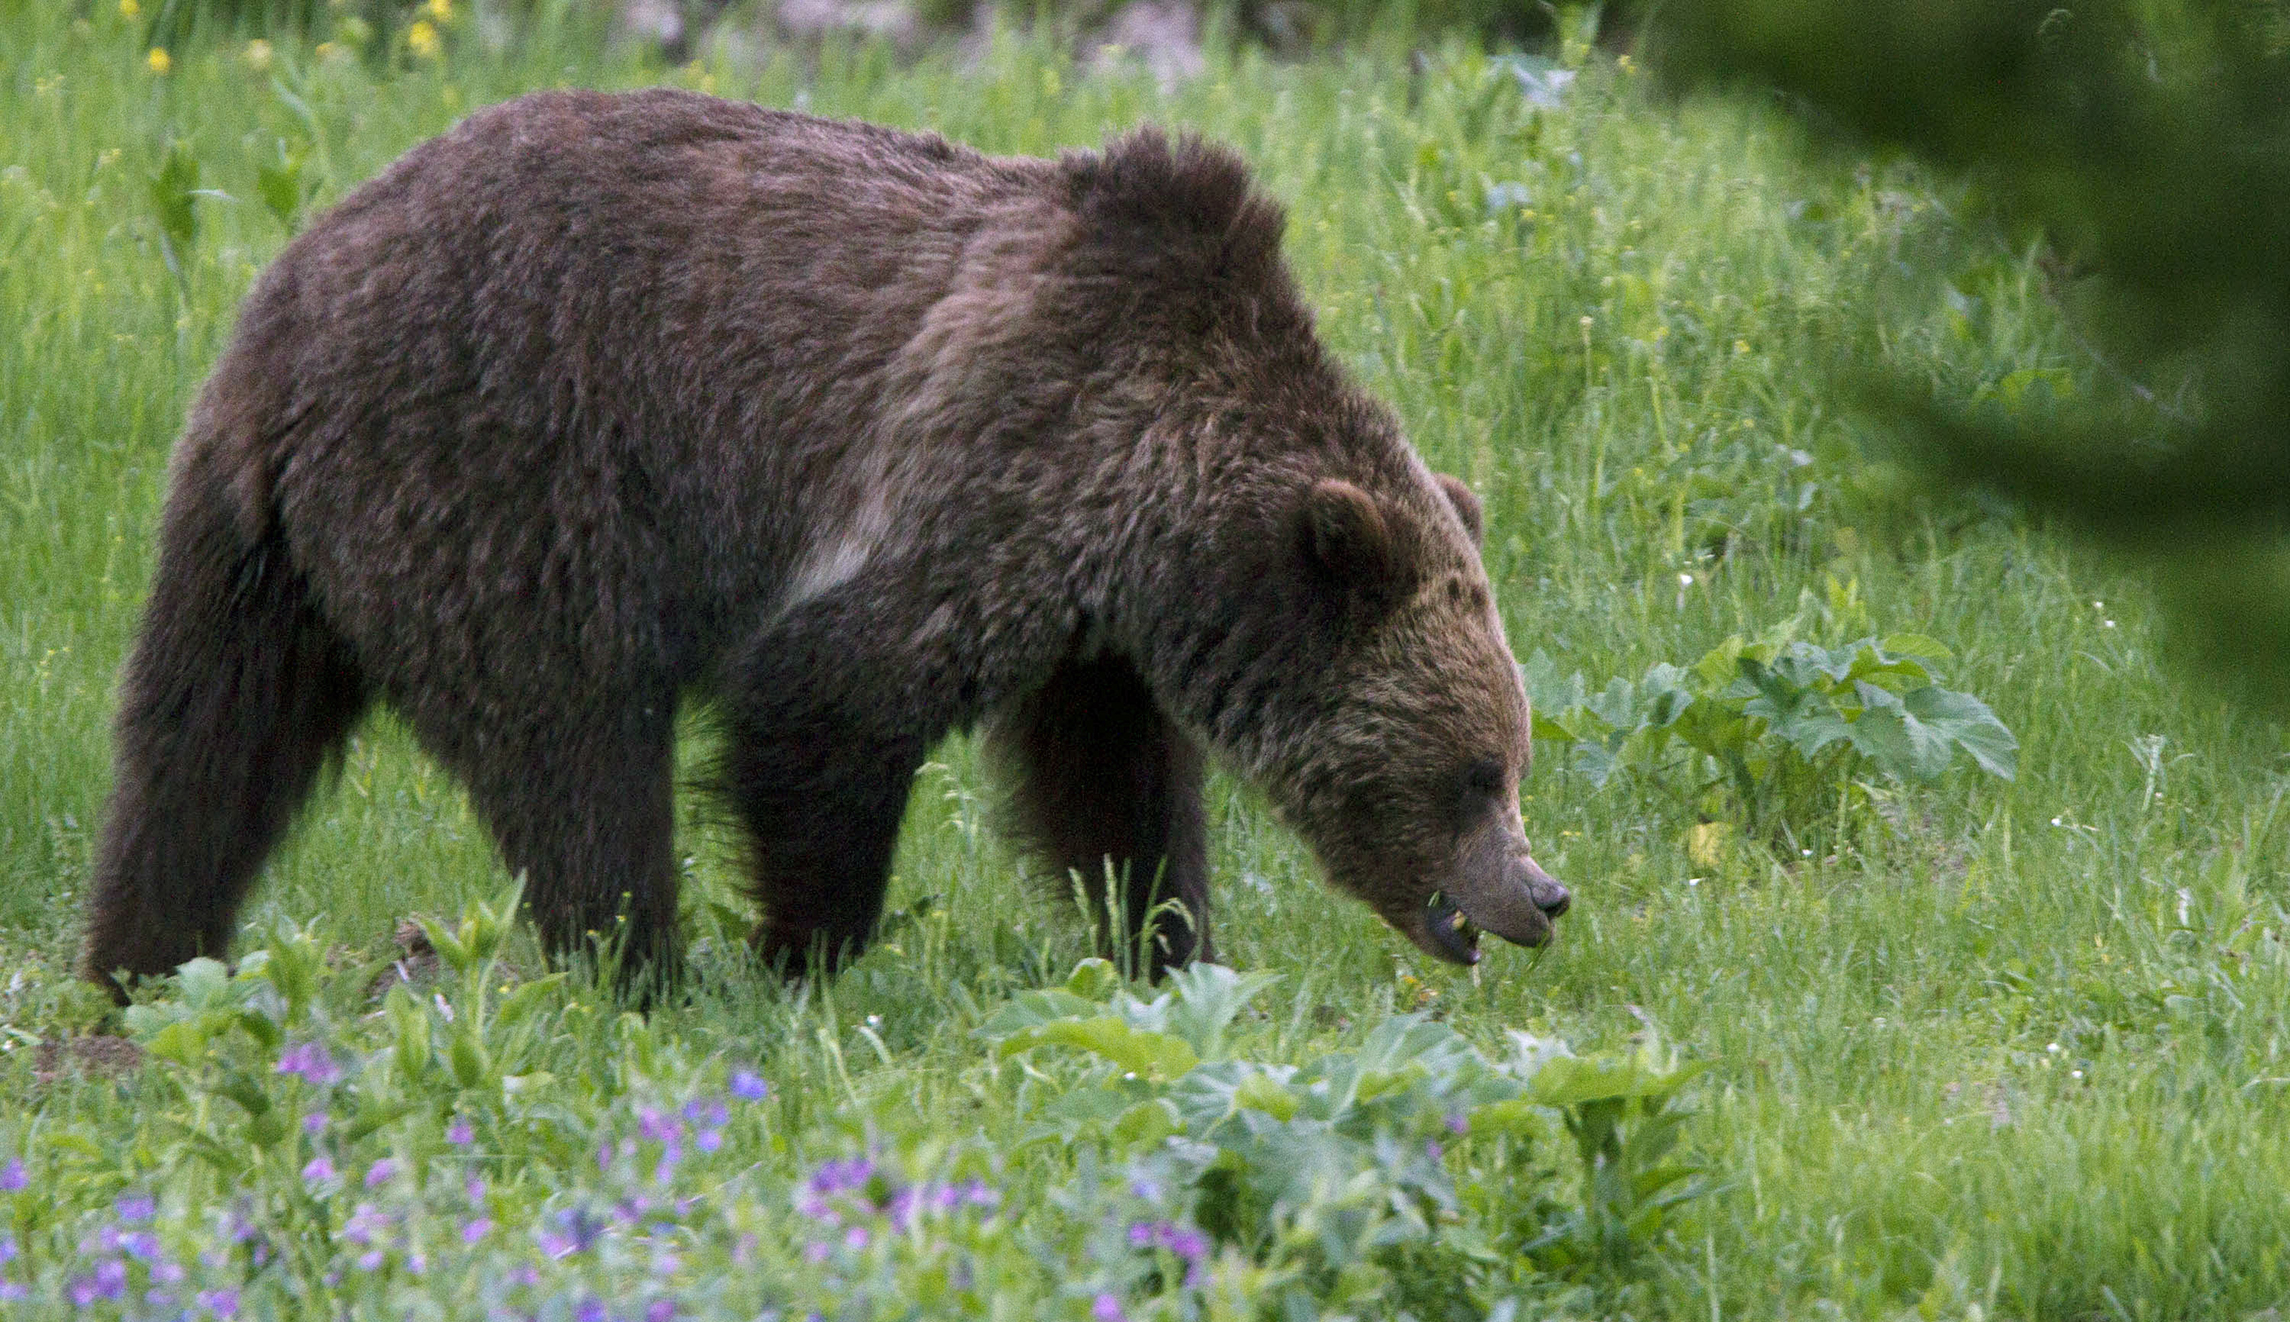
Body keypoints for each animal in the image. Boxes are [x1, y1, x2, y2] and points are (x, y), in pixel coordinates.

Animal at [78, 88, 1570, 1000]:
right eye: (1472, 770)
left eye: (1508, 756)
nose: (1541, 892)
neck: (1158, 503)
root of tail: (286, 314)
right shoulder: (992, 460)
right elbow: (826, 696)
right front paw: (807, 955)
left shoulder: (1091, 620)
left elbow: (1110, 786)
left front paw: (1165, 943)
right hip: (503, 480)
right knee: (577, 752)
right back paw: (644, 969)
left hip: (259, 551)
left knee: (201, 751)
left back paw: (139, 966)